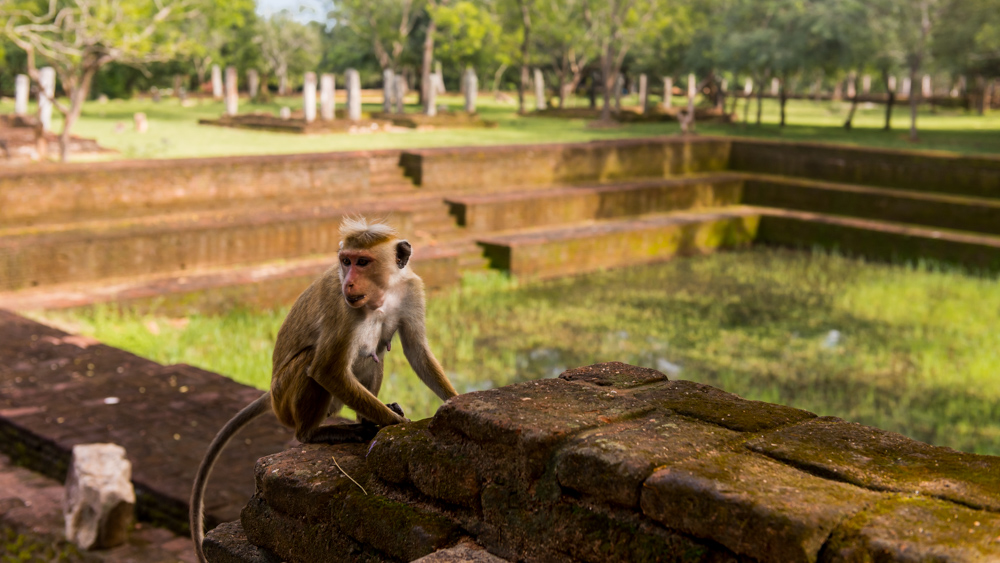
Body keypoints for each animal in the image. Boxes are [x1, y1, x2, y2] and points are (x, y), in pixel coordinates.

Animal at [189, 218, 458, 560]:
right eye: (346, 261)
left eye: (362, 262)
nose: (350, 284)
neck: (384, 292)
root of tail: (271, 393)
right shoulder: (343, 308)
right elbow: (326, 369)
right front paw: (400, 424)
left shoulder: (412, 289)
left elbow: (416, 350)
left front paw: (453, 401)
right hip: (286, 398)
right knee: (316, 362)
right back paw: (317, 432)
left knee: (374, 355)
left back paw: (365, 420)